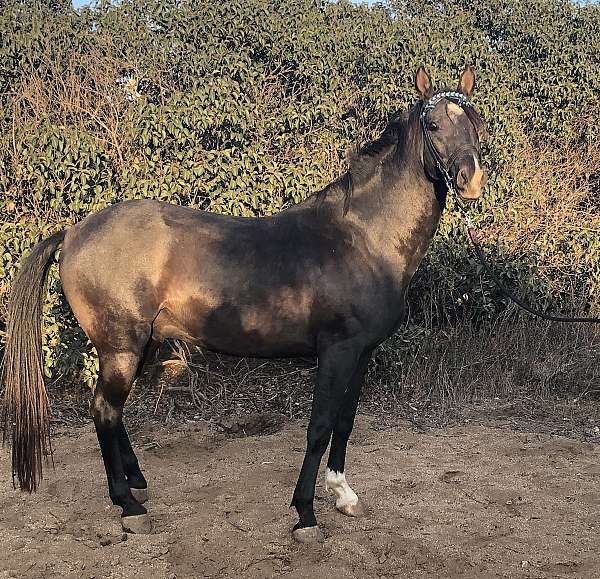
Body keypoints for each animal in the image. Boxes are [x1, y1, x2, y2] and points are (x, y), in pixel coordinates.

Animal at [1, 67, 488, 544]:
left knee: (112, 412)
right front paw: (306, 513)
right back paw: (128, 506)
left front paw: (343, 494)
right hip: (121, 347)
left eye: (476, 121)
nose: (471, 179)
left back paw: (136, 483)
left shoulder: (362, 353)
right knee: (104, 411)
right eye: (432, 124)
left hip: (139, 346)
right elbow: (319, 426)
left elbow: (345, 423)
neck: (362, 239)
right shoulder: (337, 352)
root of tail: (74, 232)